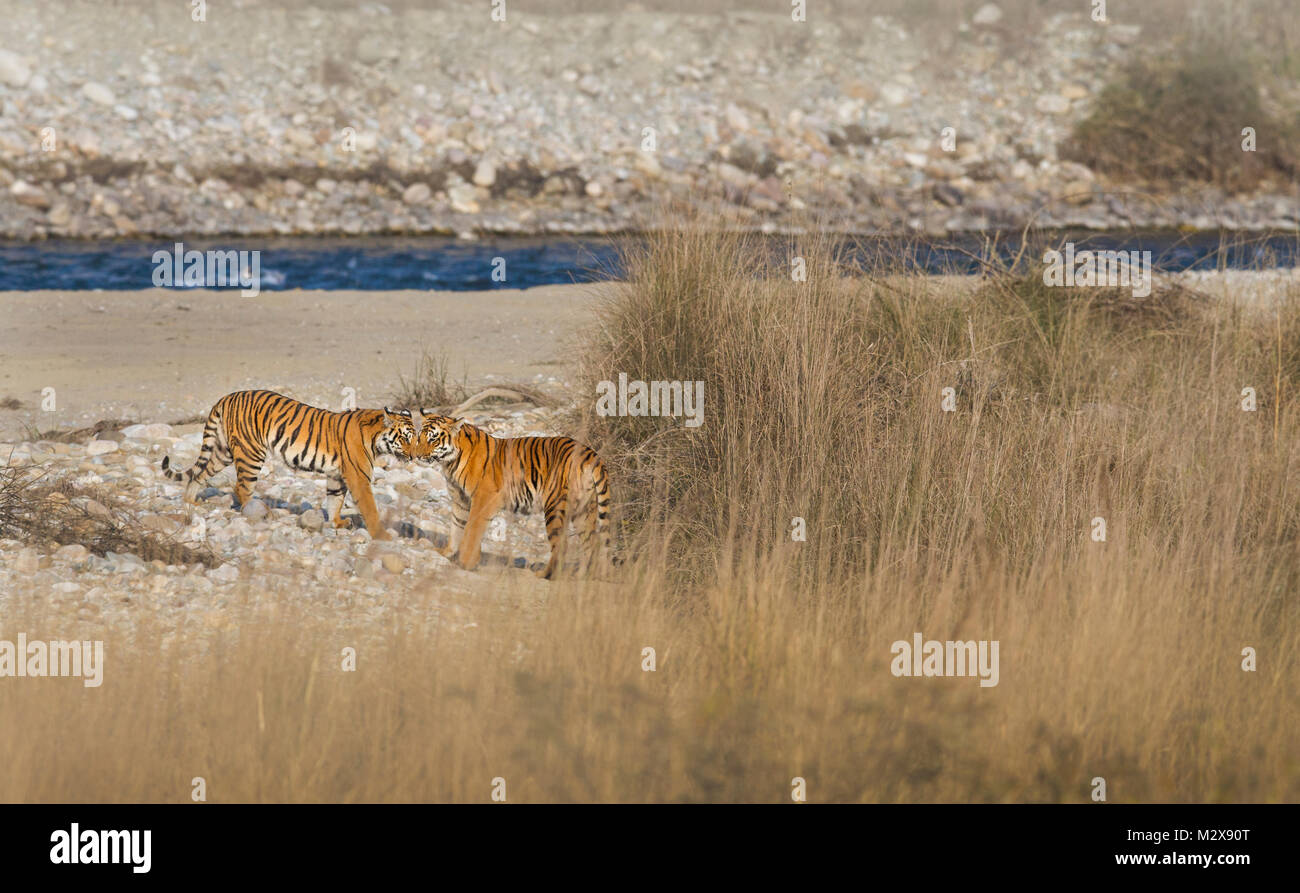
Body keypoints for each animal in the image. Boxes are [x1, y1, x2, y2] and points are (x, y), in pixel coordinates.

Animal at [161, 389, 416, 538]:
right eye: (405, 438)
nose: (414, 456)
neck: (375, 438)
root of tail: (226, 397)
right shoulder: (358, 477)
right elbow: (370, 508)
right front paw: (382, 535)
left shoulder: (336, 476)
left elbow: (334, 500)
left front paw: (337, 523)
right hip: (251, 452)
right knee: (242, 487)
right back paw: (259, 514)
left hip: (224, 451)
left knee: (199, 474)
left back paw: (190, 501)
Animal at [416, 413, 618, 579]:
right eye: (421, 437)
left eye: (433, 439)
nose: (417, 456)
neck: (450, 462)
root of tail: (591, 454)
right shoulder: (461, 500)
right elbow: (456, 527)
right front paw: (447, 553)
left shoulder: (484, 497)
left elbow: (472, 530)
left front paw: (466, 562)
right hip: (584, 510)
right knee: (591, 544)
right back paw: (583, 576)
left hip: (555, 506)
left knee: (562, 546)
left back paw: (544, 574)